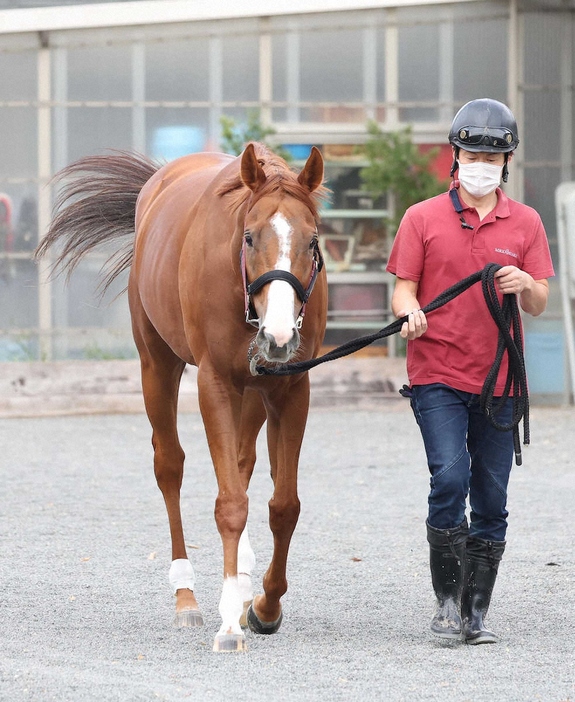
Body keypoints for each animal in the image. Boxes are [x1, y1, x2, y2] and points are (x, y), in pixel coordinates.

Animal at [36, 143, 328, 656]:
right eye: (249, 237)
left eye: (311, 242)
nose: (277, 336)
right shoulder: (215, 384)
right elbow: (229, 504)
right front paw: (230, 622)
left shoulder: (291, 388)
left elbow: (283, 505)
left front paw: (265, 605)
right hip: (157, 364)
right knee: (169, 465)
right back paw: (186, 595)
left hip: (253, 394)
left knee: (243, 462)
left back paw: (244, 581)